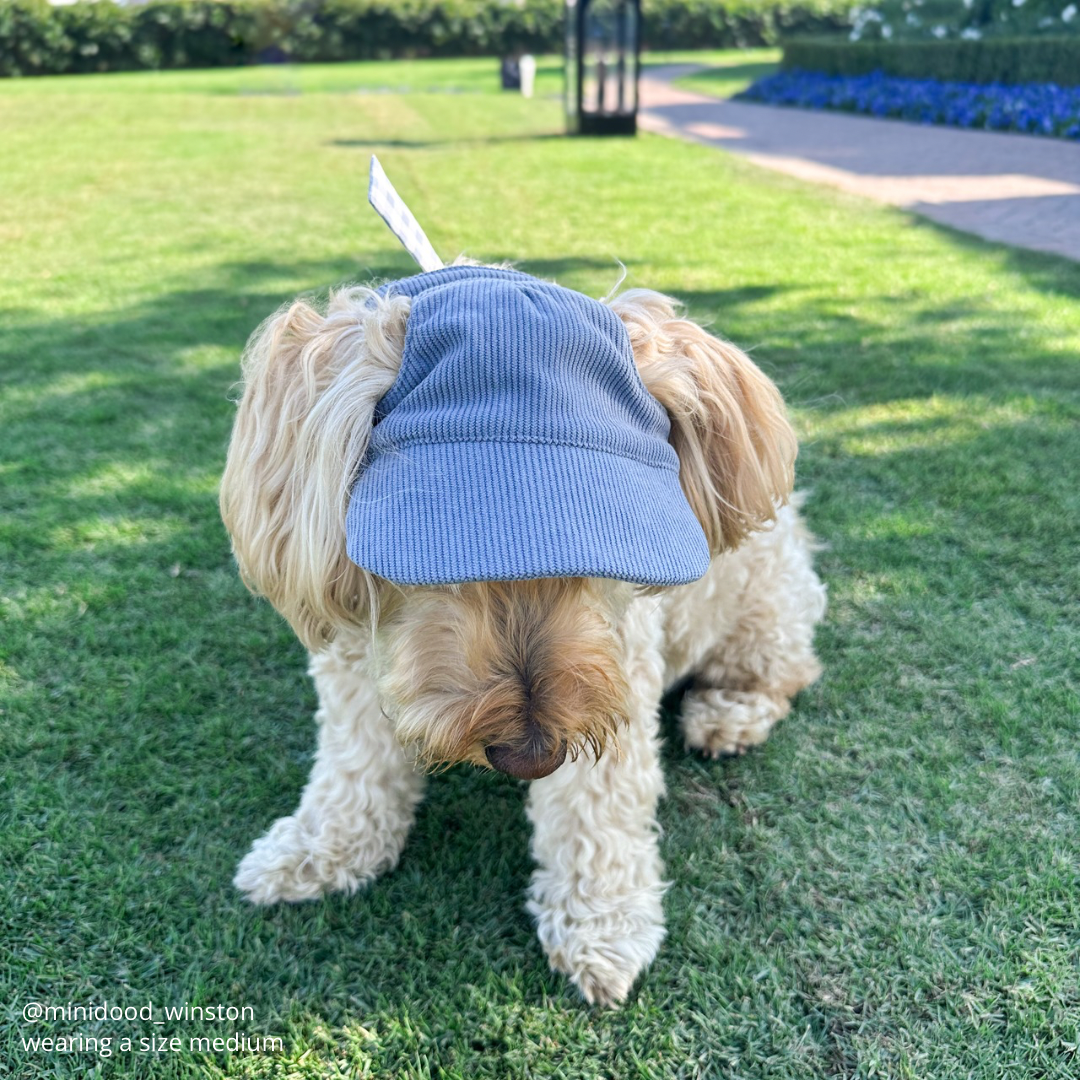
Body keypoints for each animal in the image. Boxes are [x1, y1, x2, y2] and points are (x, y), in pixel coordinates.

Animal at [221, 261, 825, 1002]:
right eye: (435, 554)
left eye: (605, 553)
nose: (530, 756)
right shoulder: (357, 662)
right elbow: (354, 766)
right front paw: (319, 851)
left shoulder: (618, 677)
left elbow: (596, 808)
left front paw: (602, 923)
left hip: (764, 605)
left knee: (784, 672)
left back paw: (728, 714)